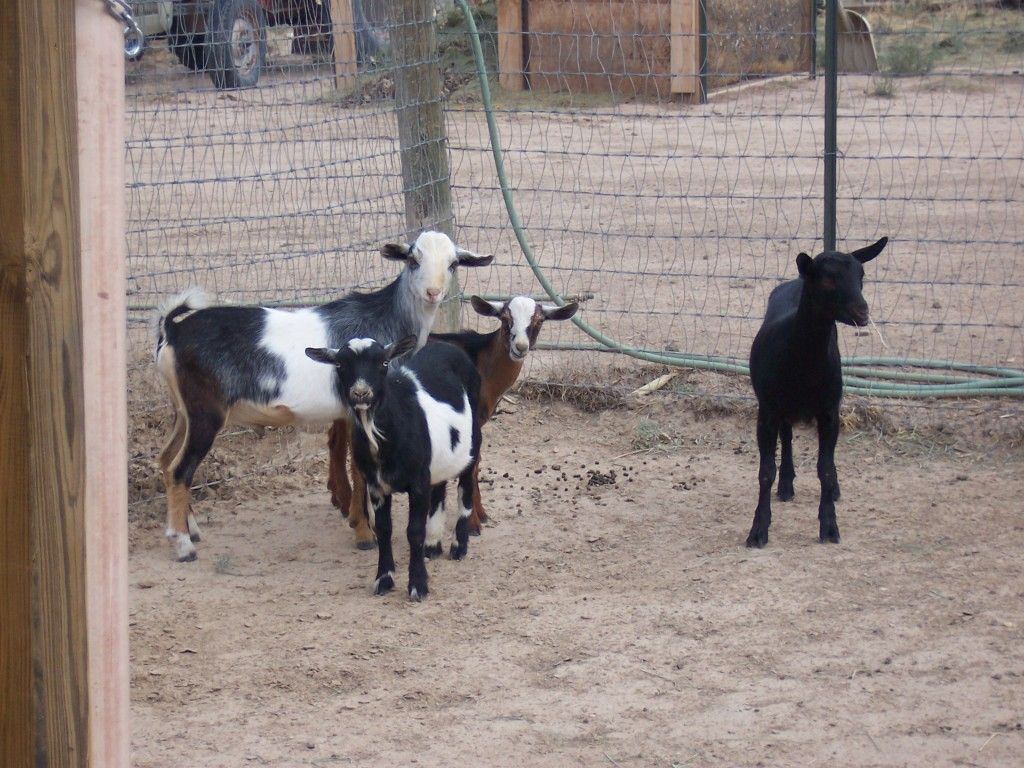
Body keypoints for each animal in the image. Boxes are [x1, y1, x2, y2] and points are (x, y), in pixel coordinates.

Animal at [154, 231, 492, 561]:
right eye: (413, 260)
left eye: (453, 264)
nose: (433, 292)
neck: (385, 320)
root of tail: (173, 331)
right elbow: (359, 470)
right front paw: (365, 534)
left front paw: (363, 523)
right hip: (205, 414)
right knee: (181, 470)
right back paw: (184, 546)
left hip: (183, 412)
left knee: (167, 460)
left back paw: (191, 529)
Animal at [306, 336, 482, 601]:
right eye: (339, 365)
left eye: (384, 362)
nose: (361, 393)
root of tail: (448, 347)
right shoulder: (376, 485)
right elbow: (383, 529)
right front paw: (384, 579)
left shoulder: (418, 483)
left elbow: (414, 531)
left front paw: (418, 586)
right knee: (440, 487)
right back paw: (433, 545)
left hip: (473, 439)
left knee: (466, 488)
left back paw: (458, 547)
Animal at [746, 236, 888, 548]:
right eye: (828, 279)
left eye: (861, 275)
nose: (862, 312)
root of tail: (798, 277)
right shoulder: (767, 411)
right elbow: (765, 472)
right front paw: (758, 530)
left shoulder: (829, 412)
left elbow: (825, 468)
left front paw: (830, 526)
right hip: (782, 407)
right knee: (787, 438)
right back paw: (786, 484)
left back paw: (831, 488)